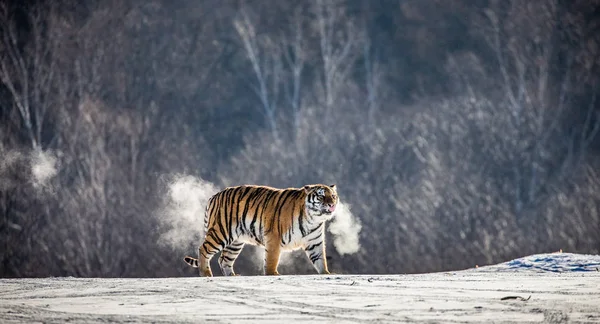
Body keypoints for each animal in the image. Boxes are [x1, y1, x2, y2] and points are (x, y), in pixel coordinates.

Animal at [183, 184, 340, 278]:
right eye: (321, 196)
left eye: (333, 196)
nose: (332, 204)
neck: (313, 219)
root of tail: (213, 196)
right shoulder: (274, 237)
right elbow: (272, 258)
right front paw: (272, 274)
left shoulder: (315, 242)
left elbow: (321, 259)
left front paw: (326, 273)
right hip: (221, 232)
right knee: (203, 249)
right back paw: (206, 274)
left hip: (235, 242)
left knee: (224, 259)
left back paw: (232, 276)